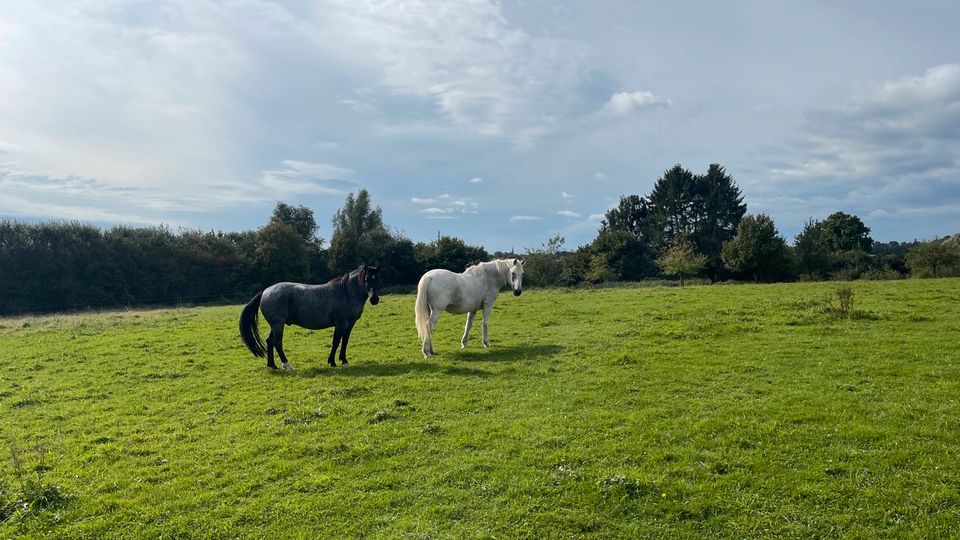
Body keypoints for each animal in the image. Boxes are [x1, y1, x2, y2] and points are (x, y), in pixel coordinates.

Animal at [238, 266, 380, 372]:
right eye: (366, 279)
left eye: (377, 279)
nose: (374, 299)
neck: (346, 293)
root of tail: (265, 291)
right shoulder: (340, 323)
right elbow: (336, 342)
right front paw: (332, 362)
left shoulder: (350, 323)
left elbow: (345, 341)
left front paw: (344, 360)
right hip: (278, 324)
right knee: (277, 342)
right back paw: (287, 366)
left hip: (275, 325)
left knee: (269, 342)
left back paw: (272, 365)